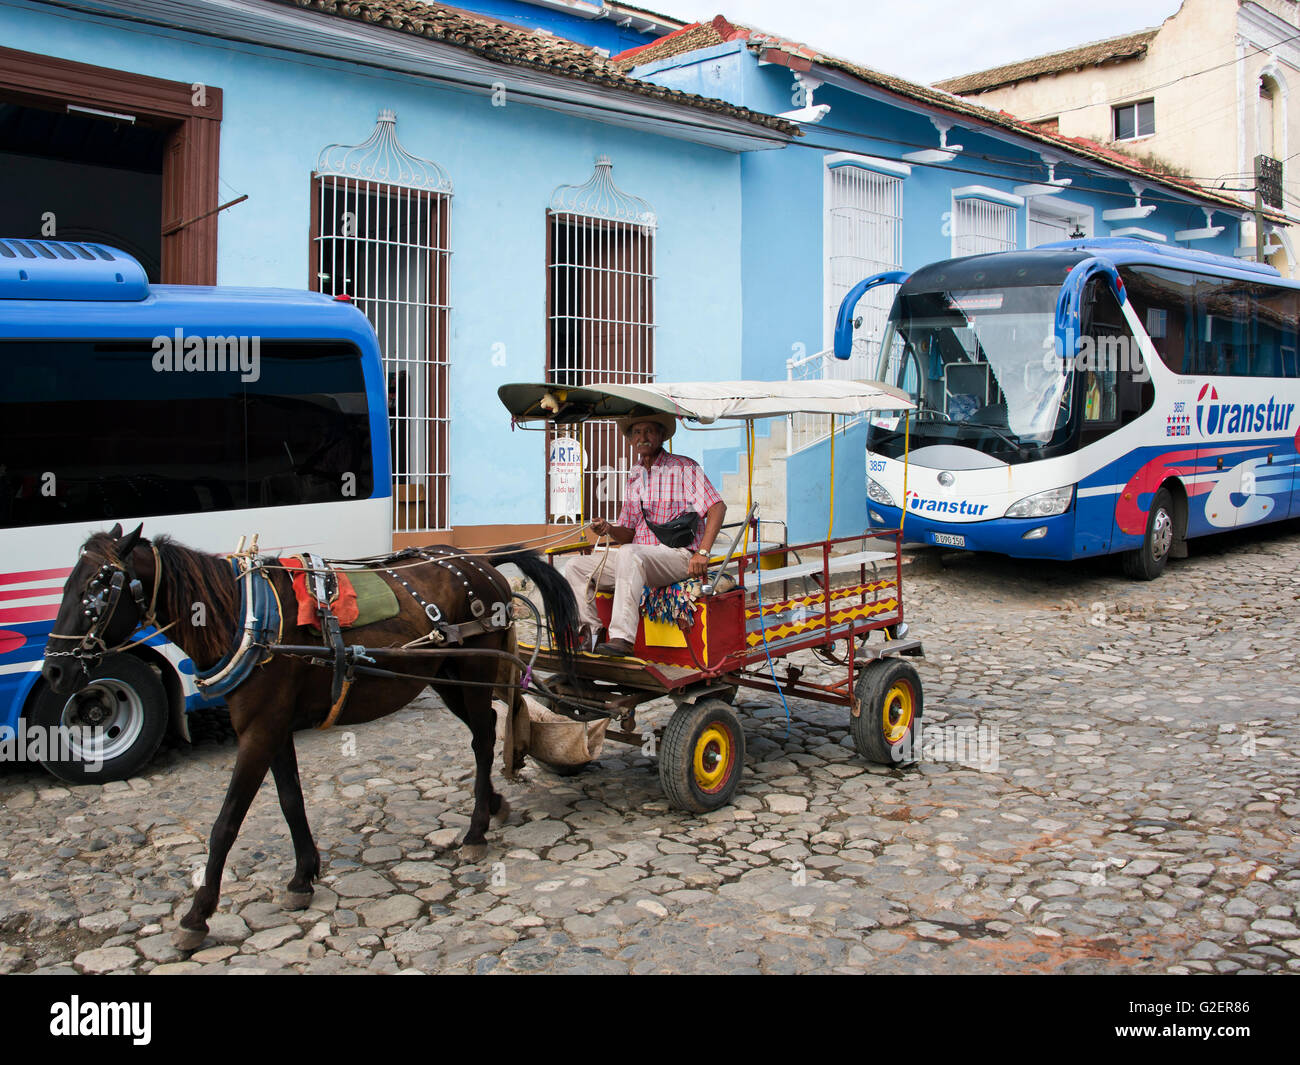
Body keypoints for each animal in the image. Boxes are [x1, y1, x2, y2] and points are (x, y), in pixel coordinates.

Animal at [43, 525, 577, 951]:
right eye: (67, 585)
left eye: (97, 589)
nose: (53, 671)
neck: (247, 620)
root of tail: (480, 562)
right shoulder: (273, 728)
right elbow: (290, 800)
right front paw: (303, 876)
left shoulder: (258, 733)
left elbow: (227, 823)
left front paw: (197, 914)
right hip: (445, 678)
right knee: (483, 731)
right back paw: (493, 806)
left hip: (471, 671)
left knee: (484, 739)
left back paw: (475, 831)